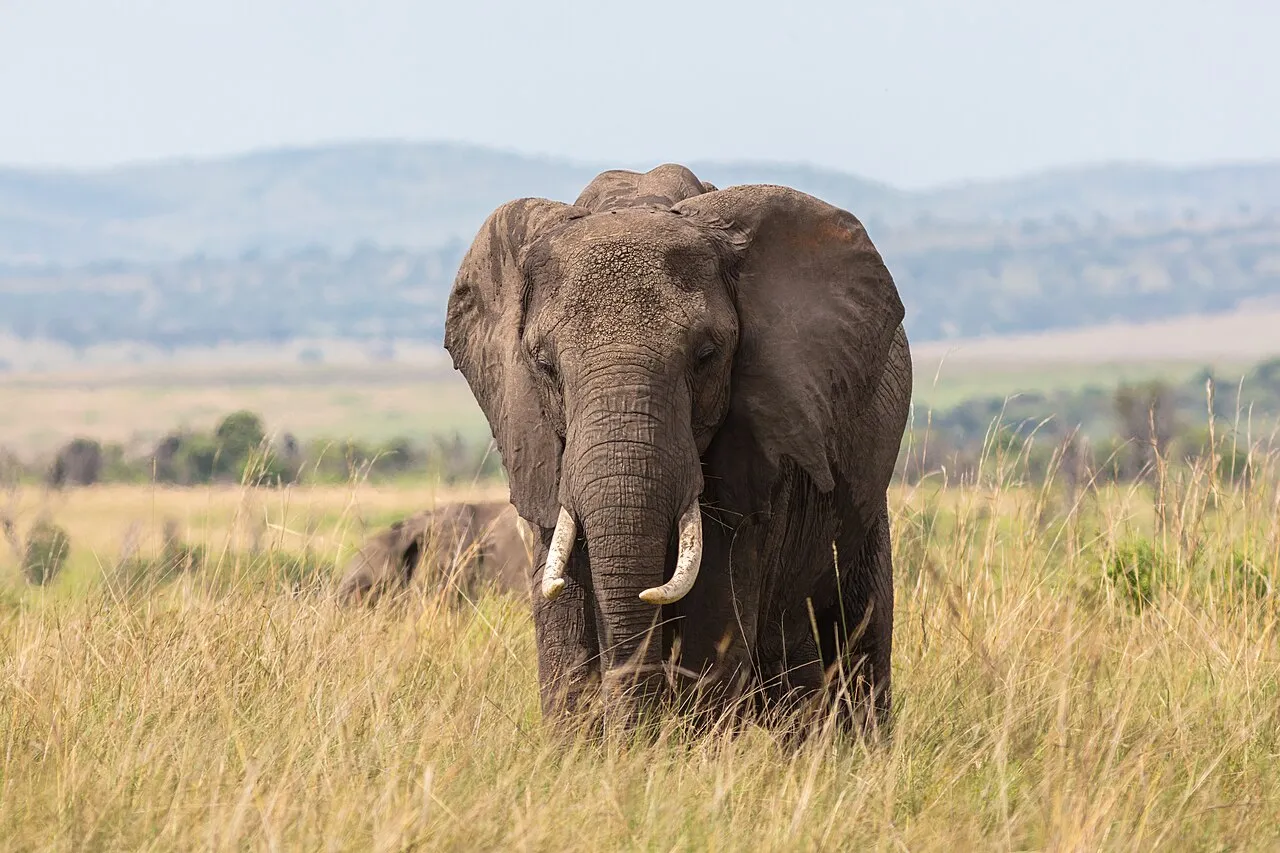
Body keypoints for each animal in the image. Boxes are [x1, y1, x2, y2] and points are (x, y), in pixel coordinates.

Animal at [443, 163, 911, 735]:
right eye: (544, 365)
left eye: (706, 357)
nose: (630, 738)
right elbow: (562, 605)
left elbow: (715, 609)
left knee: (855, 623)